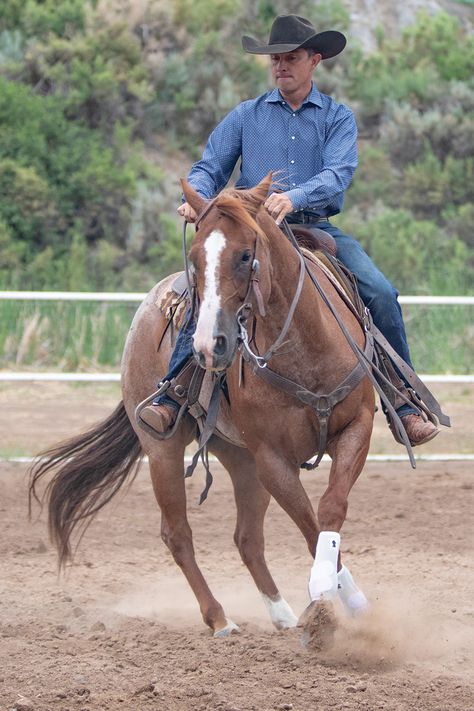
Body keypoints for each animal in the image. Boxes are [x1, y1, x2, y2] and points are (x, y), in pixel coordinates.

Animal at [29, 175, 374, 644]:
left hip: (241, 459)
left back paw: (282, 614)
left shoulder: (357, 427)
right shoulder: (272, 459)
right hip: (165, 450)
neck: (303, 350)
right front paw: (324, 598)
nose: (210, 345)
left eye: (246, 255)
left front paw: (348, 600)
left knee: (247, 538)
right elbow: (308, 522)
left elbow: (330, 509)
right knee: (177, 534)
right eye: (195, 258)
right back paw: (220, 618)